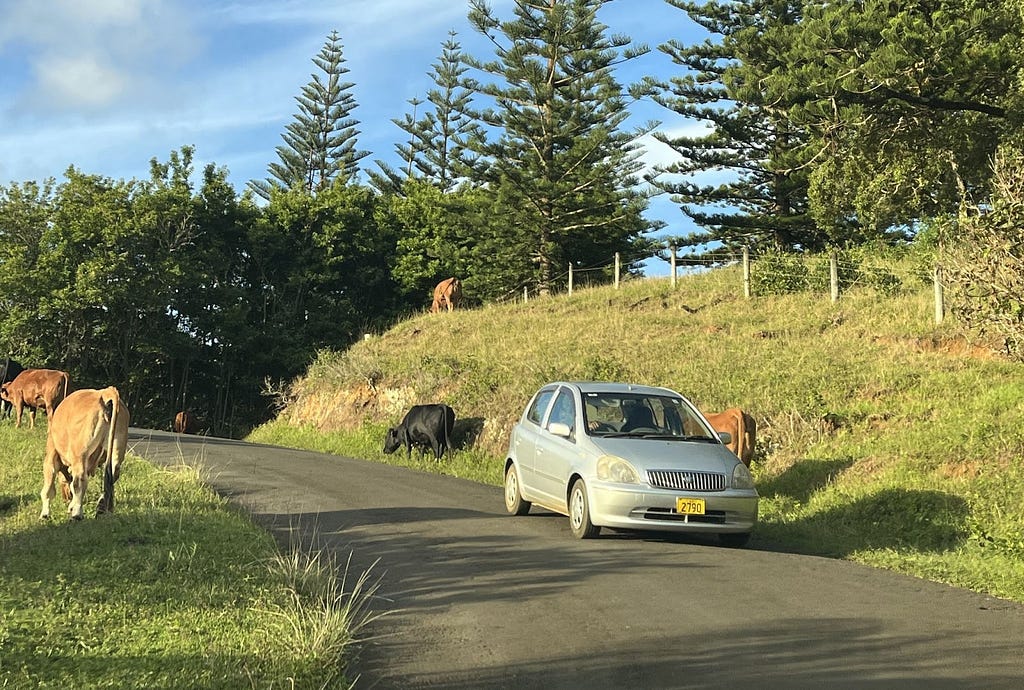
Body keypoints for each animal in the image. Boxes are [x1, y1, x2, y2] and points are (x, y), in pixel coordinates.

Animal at [40, 384, 129, 518]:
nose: (65, 498)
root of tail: (106, 392)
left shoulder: (51, 454)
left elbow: (48, 488)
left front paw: (45, 514)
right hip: (117, 450)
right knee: (112, 476)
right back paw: (103, 508)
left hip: (80, 453)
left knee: (79, 481)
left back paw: (77, 514)